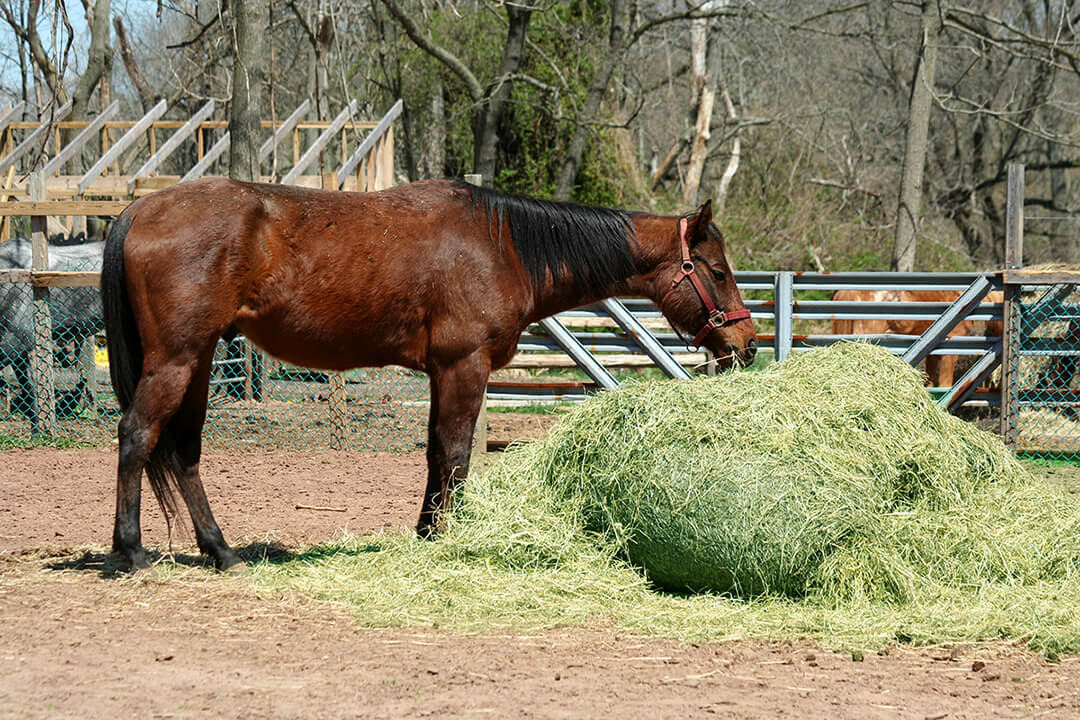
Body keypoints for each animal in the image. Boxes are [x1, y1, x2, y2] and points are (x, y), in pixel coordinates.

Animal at [101, 178, 757, 571]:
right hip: (177, 359)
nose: (747, 344)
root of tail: (140, 207)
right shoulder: (463, 365)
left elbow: (437, 454)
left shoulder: (444, 372)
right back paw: (129, 552)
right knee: (136, 436)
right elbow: (457, 452)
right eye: (718, 271)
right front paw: (452, 538)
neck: (503, 245)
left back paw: (220, 551)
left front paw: (427, 534)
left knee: (184, 449)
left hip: (199, 361)